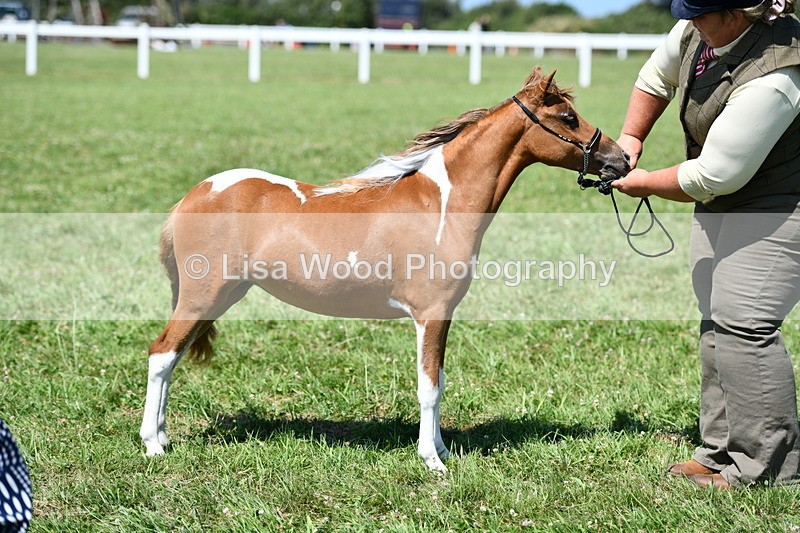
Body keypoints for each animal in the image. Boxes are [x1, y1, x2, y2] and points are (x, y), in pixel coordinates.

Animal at [140, 67, 630, 471]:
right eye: (568, 117)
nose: (622, 159)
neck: (441, 204)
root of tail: (195, 194)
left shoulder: (443, 317)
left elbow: (440, 380)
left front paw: (443, 448)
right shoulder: (430, 314)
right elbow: (429, 386)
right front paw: (433, 461)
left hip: (217, 298)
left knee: (174, 356)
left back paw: (163, 435)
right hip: (204, 295)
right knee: (162, 354)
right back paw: (153, 444)